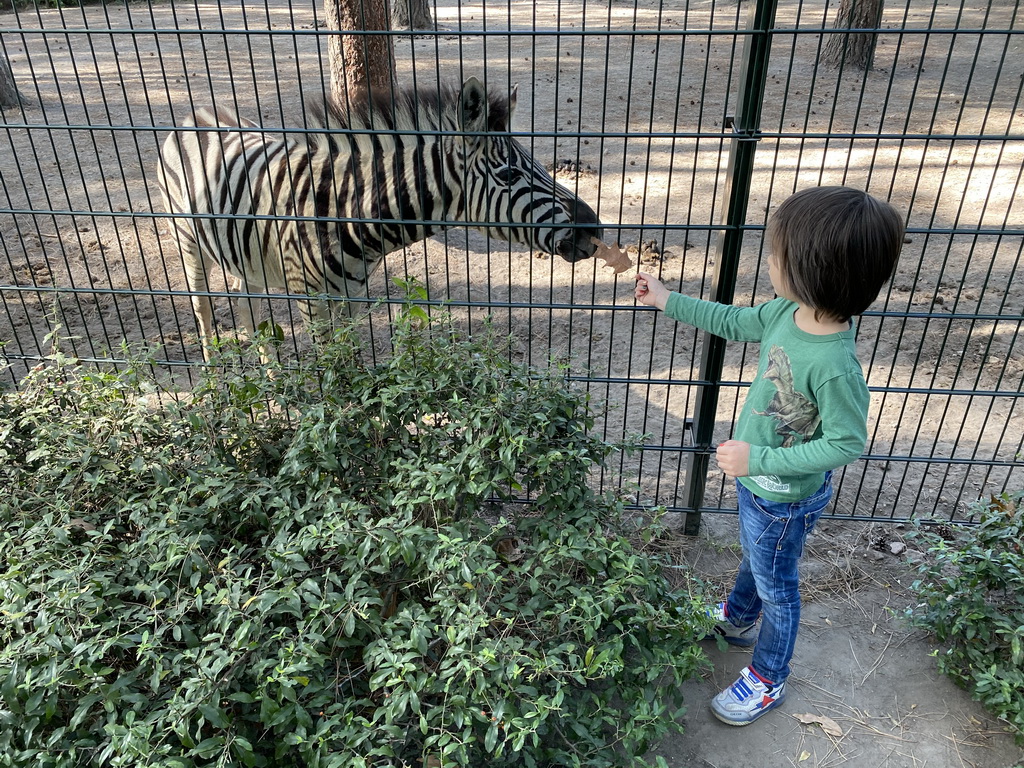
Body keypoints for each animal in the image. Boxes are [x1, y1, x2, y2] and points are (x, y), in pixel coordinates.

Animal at [155, 76, 602, 360]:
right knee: (203, 307)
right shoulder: (310, 300)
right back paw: (218, 382)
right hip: (186, 240)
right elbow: (332, 368)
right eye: (508, 174)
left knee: (246, 302)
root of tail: (197, 113)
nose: (594, 230)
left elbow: (351, 358)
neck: (348, 212)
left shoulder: (353, 297)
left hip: (247, 254)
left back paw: (272, 374)